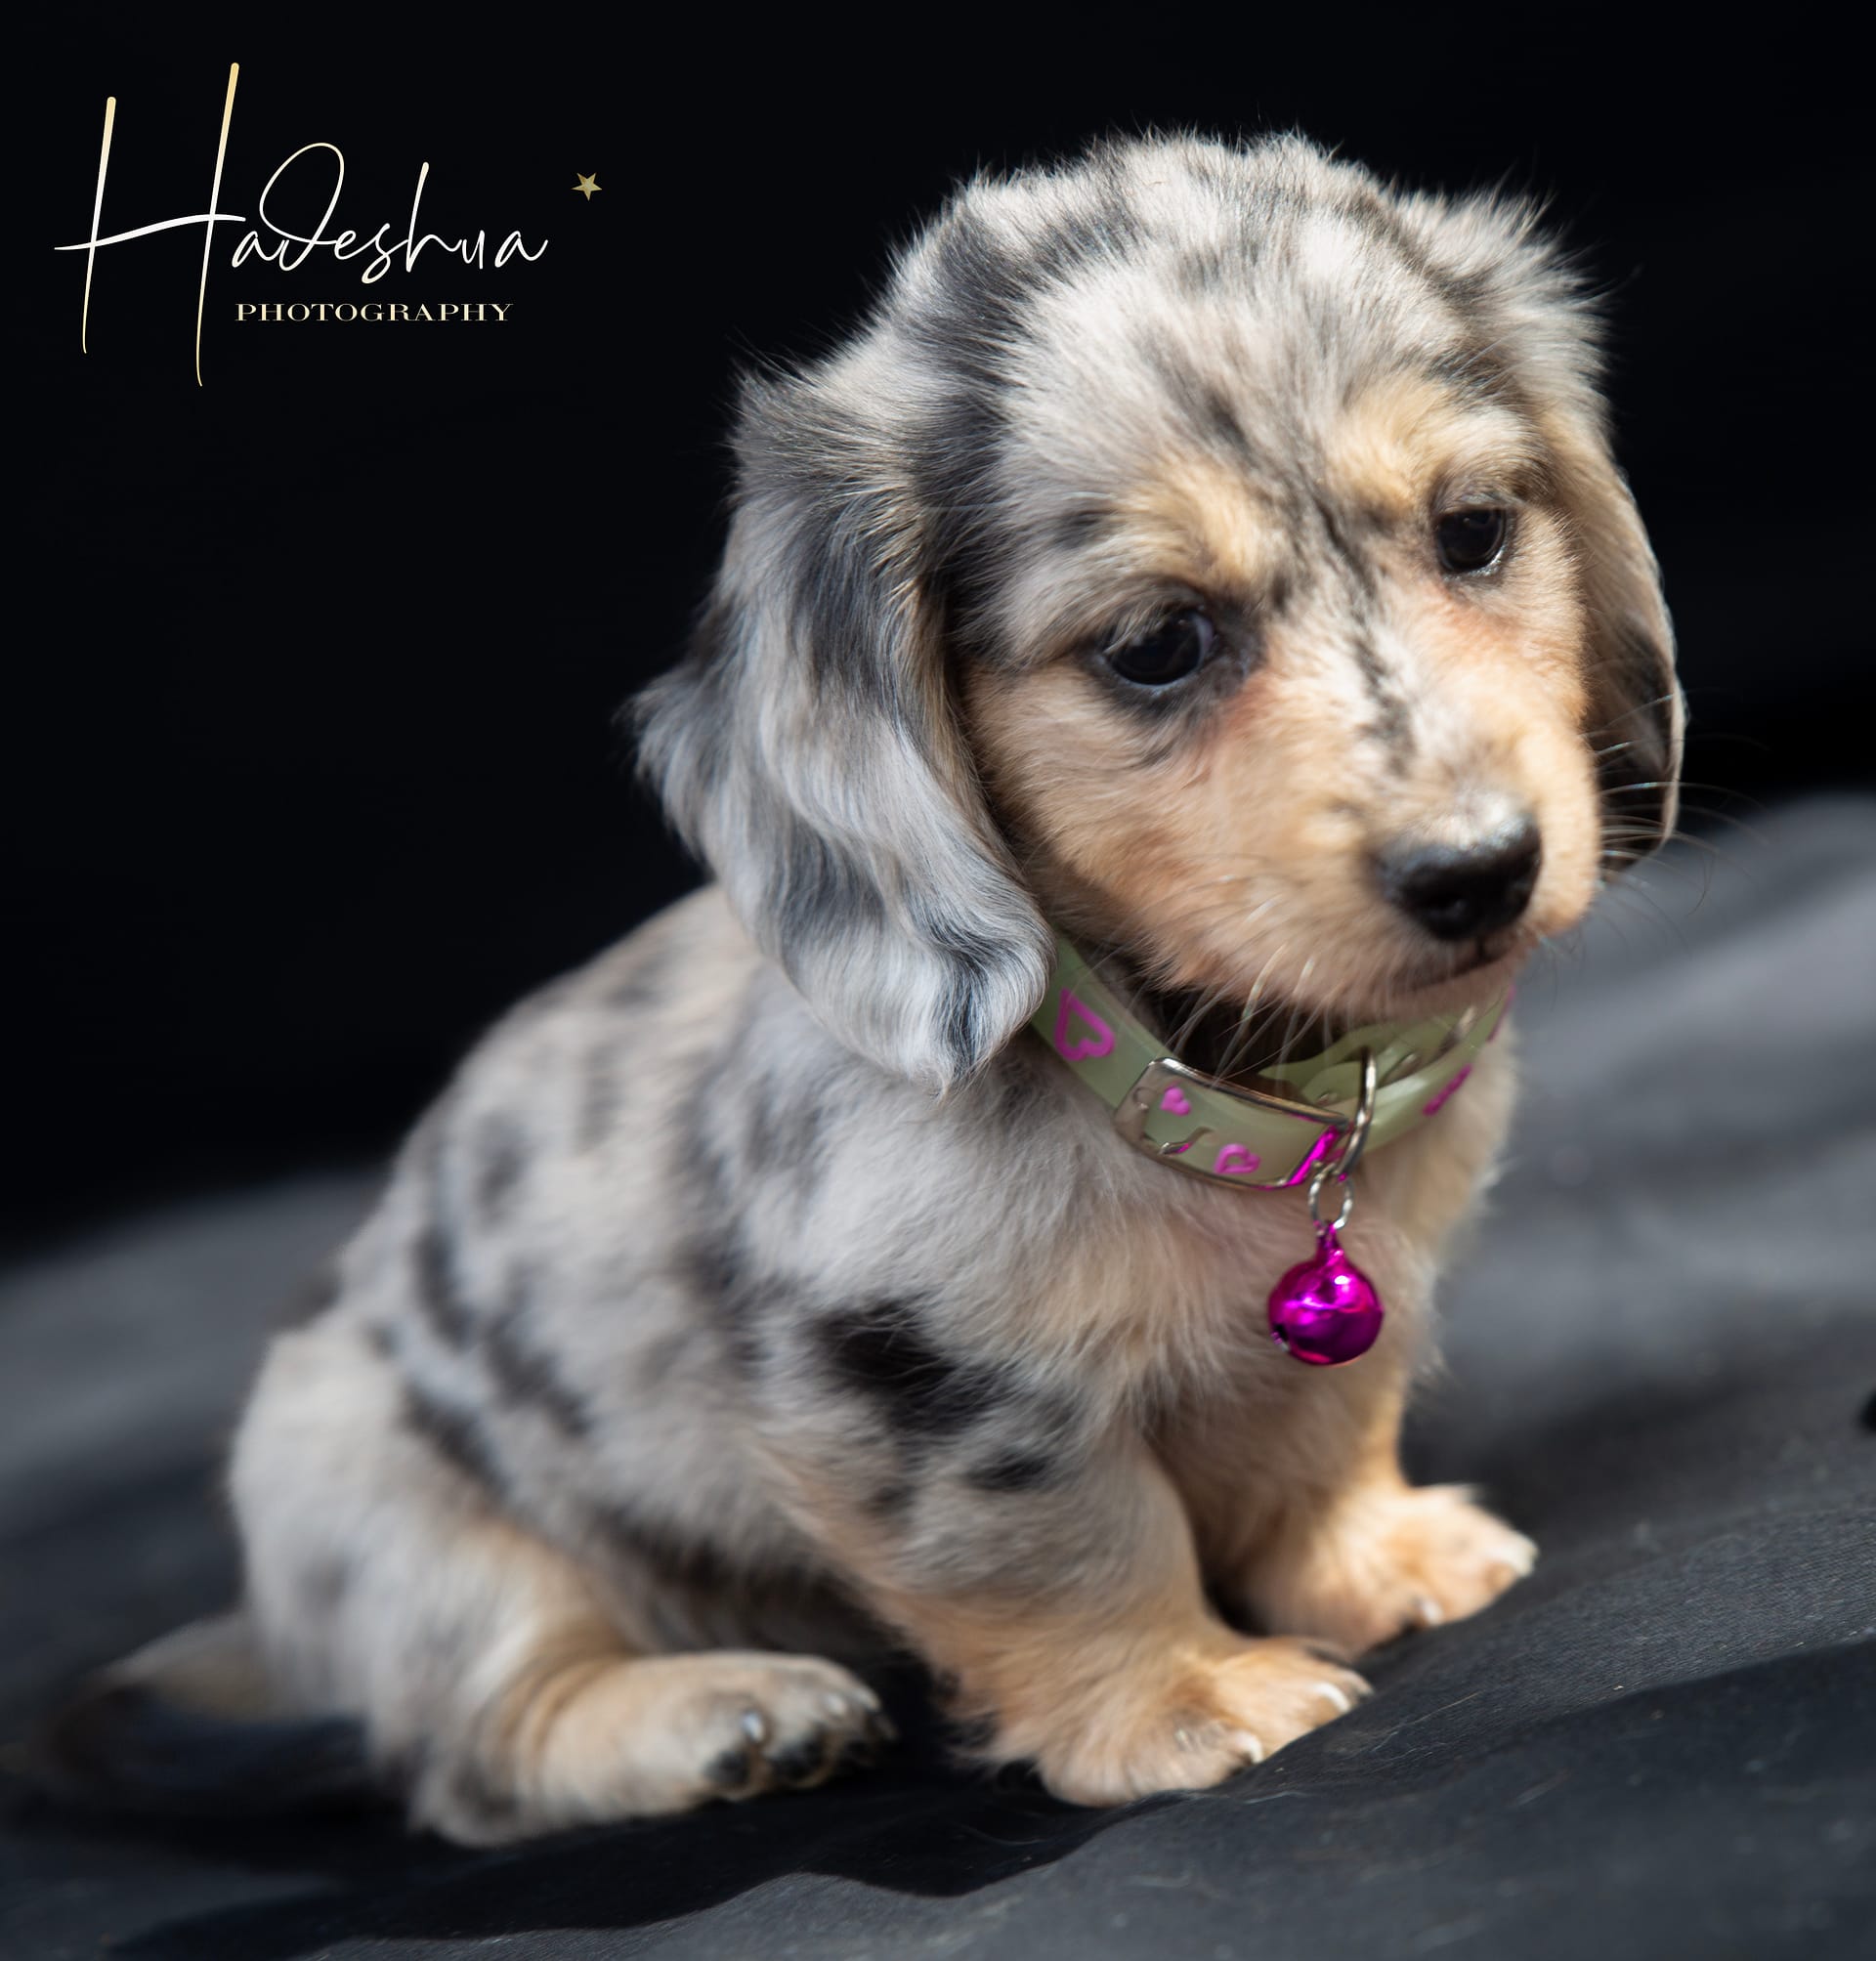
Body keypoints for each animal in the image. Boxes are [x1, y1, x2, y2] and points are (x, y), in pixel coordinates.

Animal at [46, 133, 1680, 1844]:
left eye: (1475, 527)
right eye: (1159, 642)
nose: (1481, 868)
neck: (1191, 1074)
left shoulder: (1348, 1327)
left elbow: (1323, 1435)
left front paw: (1379, 1556)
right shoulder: (916, 1375)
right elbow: (1079, 1536)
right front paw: (1183, 1695)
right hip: (394, 1512)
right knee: (484, 1738)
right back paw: (728, 1712)